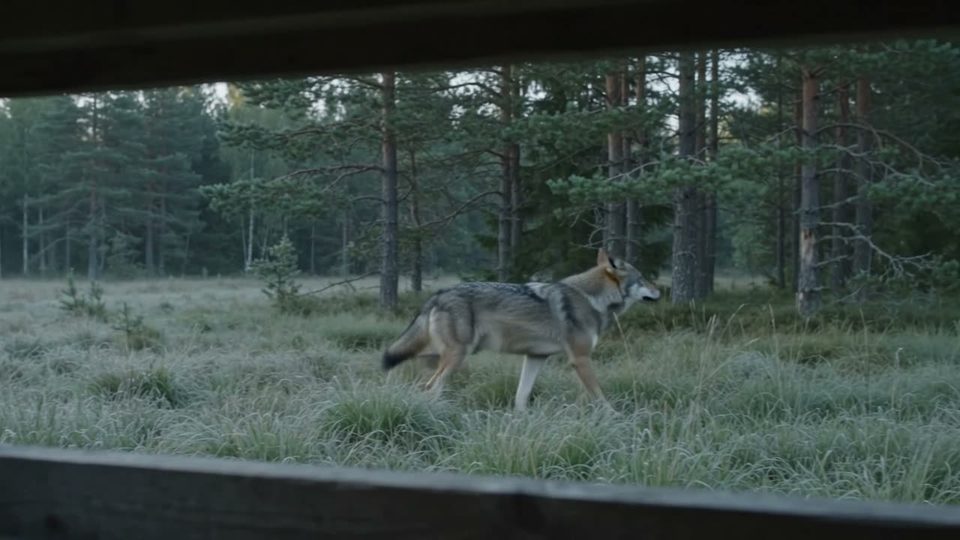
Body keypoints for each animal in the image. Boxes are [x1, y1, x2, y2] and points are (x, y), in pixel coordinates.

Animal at [381, 249, 661, 411]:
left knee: (419, 381)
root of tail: (437, 295)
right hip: (456, 357)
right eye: (643, 278)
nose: (660, 291)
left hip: (434, 356)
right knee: (430, 387)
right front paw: (616, 419)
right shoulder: (580, 359)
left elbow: (521, 396)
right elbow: (601, 398)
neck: (593, 299)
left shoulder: (536, 357)